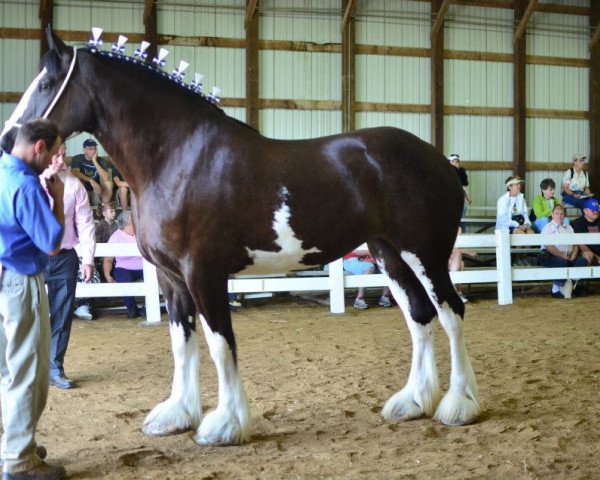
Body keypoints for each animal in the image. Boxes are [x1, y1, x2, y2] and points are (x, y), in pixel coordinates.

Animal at [0, 28, 478, 444]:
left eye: (47, 83)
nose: (8, 140)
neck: (178, 158)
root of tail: (442, 163)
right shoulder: (172, 280)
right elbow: (182, 345)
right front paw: (178, 415)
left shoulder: (204, 274)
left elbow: (219, 345)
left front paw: (225, 424)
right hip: (389, 254)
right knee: (419, 315)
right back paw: (413, 402)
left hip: (425, 254)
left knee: (451, 312)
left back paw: (459, 405)